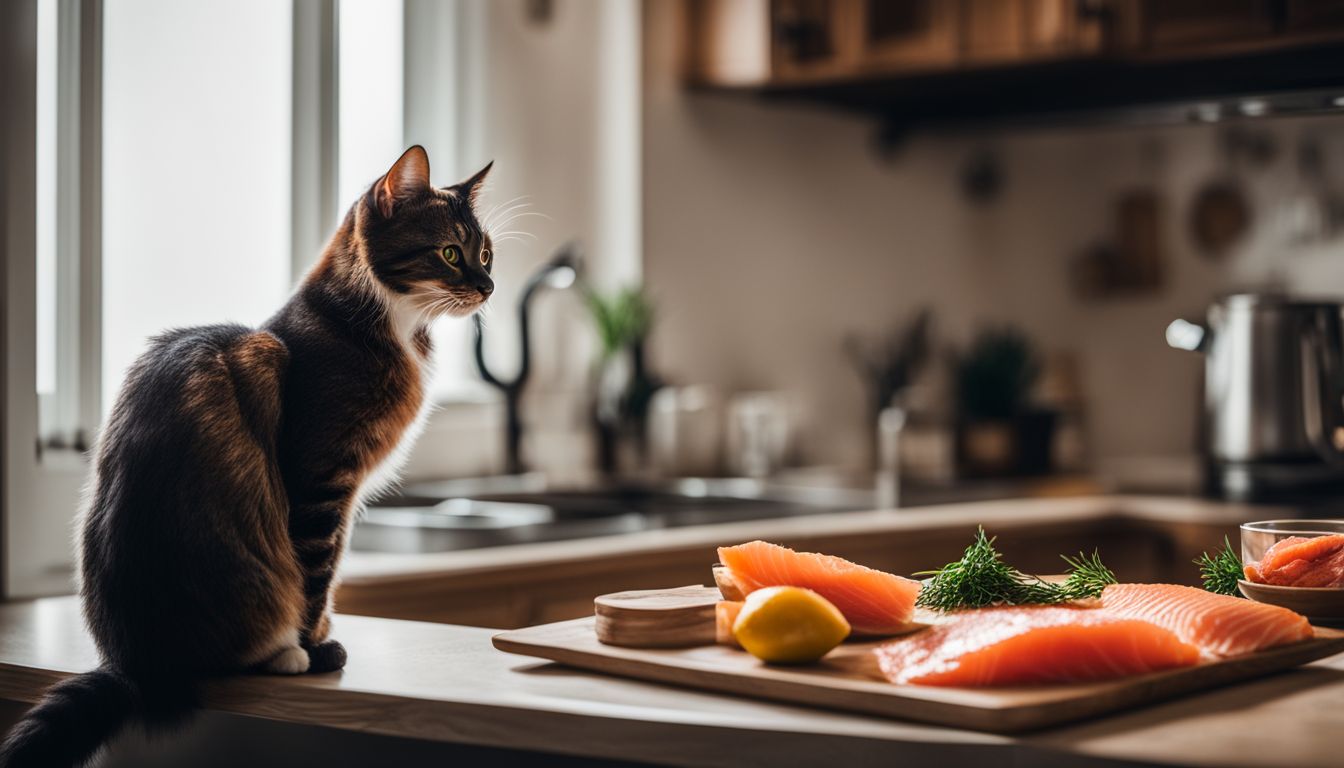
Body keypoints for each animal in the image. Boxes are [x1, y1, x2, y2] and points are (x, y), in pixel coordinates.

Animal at [0, 145, 494, 768]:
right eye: (451, 253)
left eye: (486, 252)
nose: (489, 285)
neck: (389, 325)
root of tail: (137, 668)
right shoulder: (321, 480)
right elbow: (317, 572)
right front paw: (317, 643)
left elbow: (332, 570)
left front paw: (322, 632)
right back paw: (291, 654)